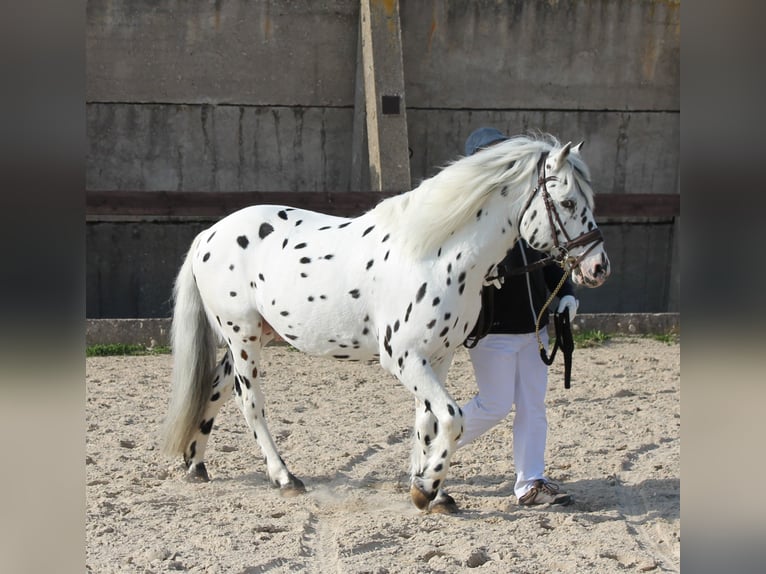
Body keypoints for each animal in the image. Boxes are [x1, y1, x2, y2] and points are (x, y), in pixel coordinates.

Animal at [162, 134, 612, 512]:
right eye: (567, 203)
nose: (598, 267)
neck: (436, 253)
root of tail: (208, 235)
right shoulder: (403, 357)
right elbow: (453, 418)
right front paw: (426, 488)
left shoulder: (439, 356)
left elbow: (428, 423)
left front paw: (432, 489)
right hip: (242, 335)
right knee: (248, 401)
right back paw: (284, 478)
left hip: (255, 335)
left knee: (217, 388)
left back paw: (196, 465)